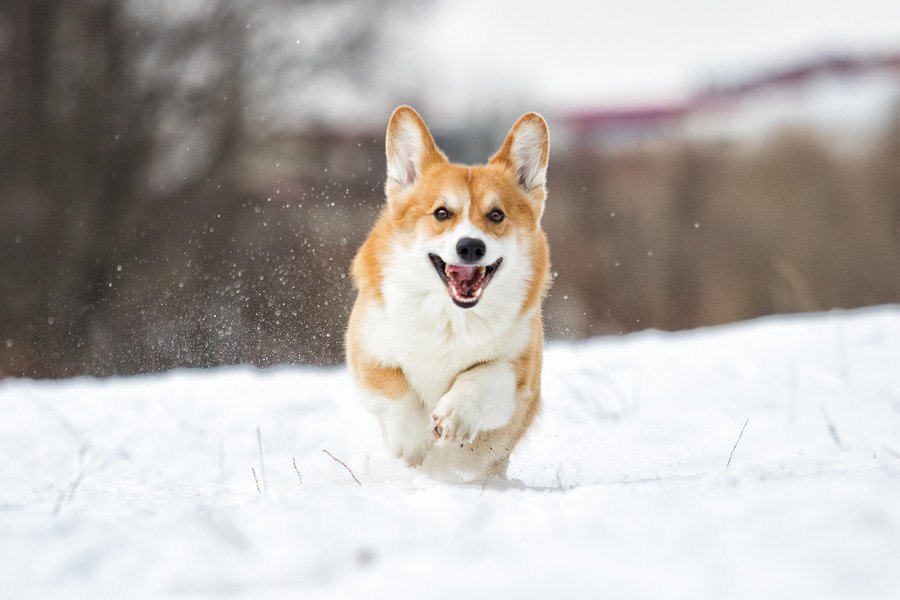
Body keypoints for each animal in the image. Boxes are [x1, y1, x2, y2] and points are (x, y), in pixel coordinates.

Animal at [344, 106, 552, 482]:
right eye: (442, 213)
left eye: (496, 215)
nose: (470, 246)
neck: (453, 316)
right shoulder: (368, 354)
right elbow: (395, 387)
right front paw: (412, 442)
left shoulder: (517, 376)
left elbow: (481, 375)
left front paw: (455, 417)